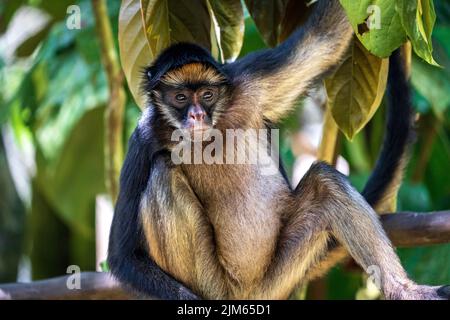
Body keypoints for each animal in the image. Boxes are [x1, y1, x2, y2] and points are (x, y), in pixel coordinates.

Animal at [109, 0, 450, 300]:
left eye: (206, 94)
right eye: (180, 98)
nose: (197, 115)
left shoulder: (246, 82)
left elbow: (325, 40)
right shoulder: (143, 136)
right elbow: (122, 256)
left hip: (277, 276)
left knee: (326, 183)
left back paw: (406, 292)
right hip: (212, 281)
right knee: (163, 172)